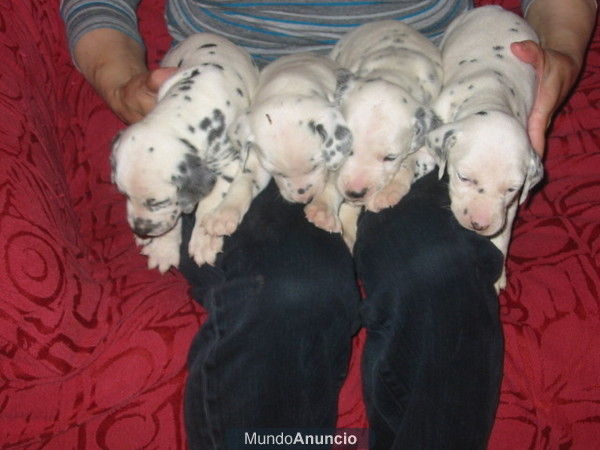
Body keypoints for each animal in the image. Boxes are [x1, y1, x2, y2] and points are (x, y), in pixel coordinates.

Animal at [111, 33, 262, 270]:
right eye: (124, 194)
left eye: (158, 202)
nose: (140, 230)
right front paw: (163, 248)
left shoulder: (229, 163)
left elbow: (211, 202)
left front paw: (205, 240)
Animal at [426, 6, 544, 292]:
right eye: (464, 177)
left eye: (511, 189)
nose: (479, 225)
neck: (491, 91)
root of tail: (498, 8)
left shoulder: (509, 207)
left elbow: (504, 232)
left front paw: (498, 272)